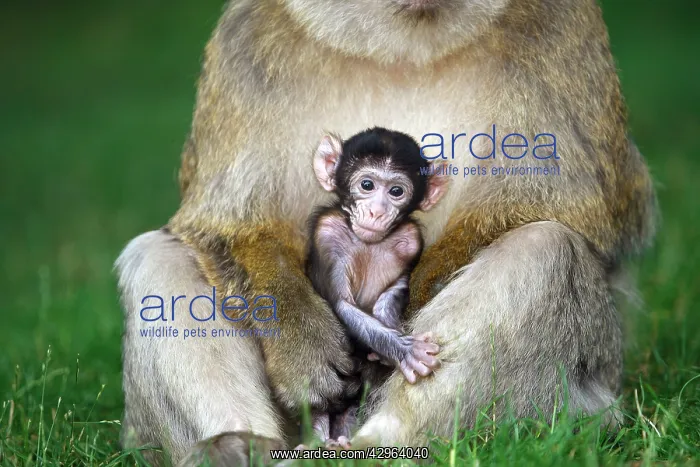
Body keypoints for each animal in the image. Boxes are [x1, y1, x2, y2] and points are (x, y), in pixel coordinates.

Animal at [304, 128, 449, 445]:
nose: (376, 211)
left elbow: (395, 288)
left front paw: (390, 330)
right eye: (367, 185)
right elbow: (343, 305)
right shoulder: (328, 233)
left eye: (396, 191)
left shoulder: (410, 240)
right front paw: (407, 350)